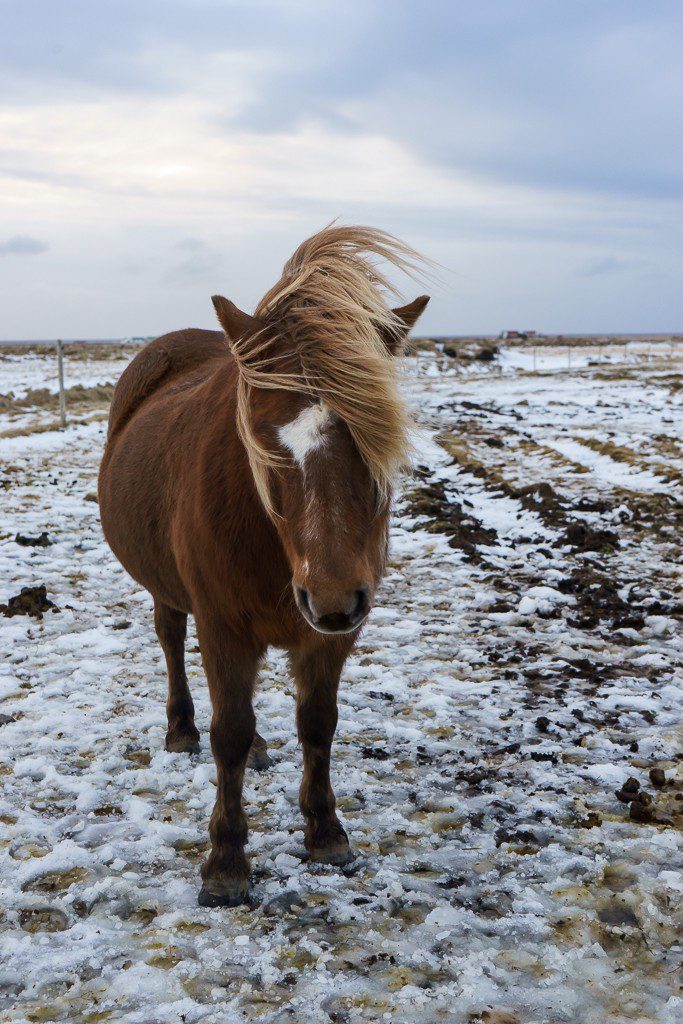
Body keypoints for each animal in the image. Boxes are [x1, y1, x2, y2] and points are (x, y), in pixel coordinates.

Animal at [97, 224, 428, 905]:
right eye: (267, 441)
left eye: (376, 437)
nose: (332, 599)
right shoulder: (223, 627)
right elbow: (227, 731)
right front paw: (225, 861)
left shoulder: (331, 637)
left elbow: (318, 724)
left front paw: (325, 830)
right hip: (169, 592)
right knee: (172, 642)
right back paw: (181, 730)